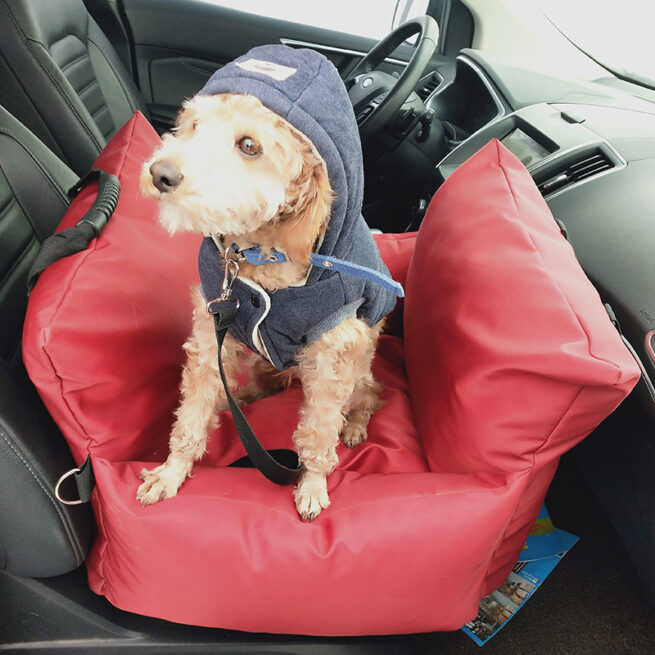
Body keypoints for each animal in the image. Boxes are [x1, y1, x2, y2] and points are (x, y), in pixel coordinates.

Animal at [136, 44, 398, 524]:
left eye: (249, 146)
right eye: (194, 126)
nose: (160, 173)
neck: (257, 256)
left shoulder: (334, 355)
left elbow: (319, 429)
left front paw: (312, 482)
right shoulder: (212, 334)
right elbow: (194, 408)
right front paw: (173, 469)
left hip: (359, 372)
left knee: (369, 396)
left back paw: (354, 425)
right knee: (257, 386)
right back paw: (239, 397)